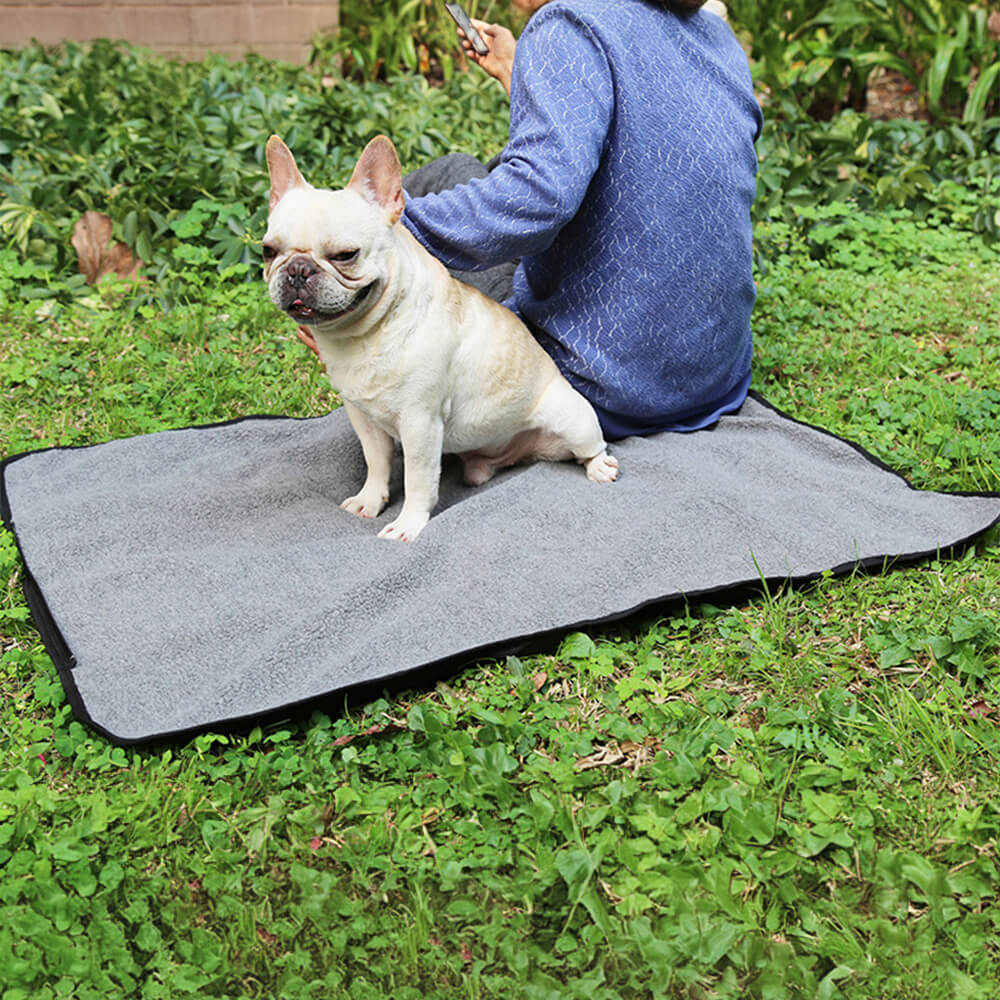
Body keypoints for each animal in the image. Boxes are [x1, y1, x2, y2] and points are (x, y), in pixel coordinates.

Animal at [262, 135, 616, 540]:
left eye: (345, 255)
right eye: (268, 251)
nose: (298, 269)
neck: (366, 334)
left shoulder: (420, 423)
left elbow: (417, 480)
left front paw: (408, 525)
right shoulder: (364, 418)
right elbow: (376, 462)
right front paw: (370, 500)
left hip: (574, 421)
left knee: (591, 447)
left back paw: (600, 466)